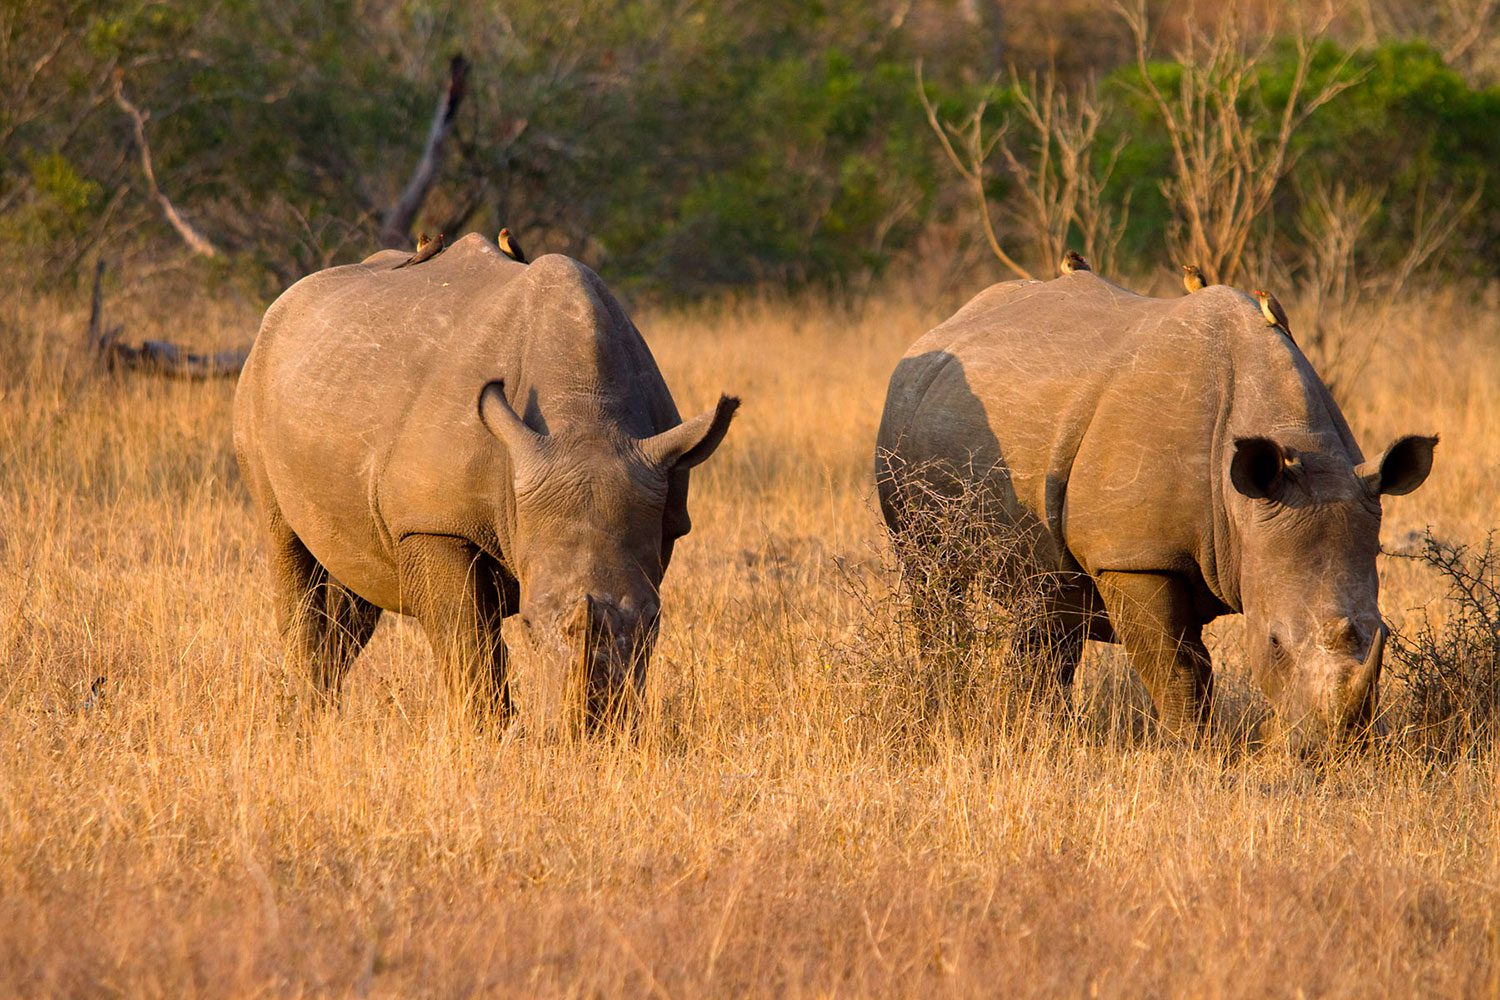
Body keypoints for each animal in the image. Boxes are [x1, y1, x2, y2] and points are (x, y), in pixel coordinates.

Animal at [234, 234, 737, 728]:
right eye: (529, 625)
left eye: (655, 621)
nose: (589, 730)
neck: (587, 412)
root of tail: (282, 306)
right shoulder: (433, 521)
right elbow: (467, 643)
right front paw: (486, 736)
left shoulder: (665, 512)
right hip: (256, 381)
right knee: (286, 547)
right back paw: (307, 720)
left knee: (351, 586)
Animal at [875, 272, 1435, 747]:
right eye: (1273, 643)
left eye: (1386, 635)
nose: (1331, 750)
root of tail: (947, 323)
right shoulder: (1133, 556)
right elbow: (1179, 666)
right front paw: (1189, 752)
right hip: (905, 432)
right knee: (933, 580)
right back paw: (949, 700)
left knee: (1049, 603)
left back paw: (1044, 731)